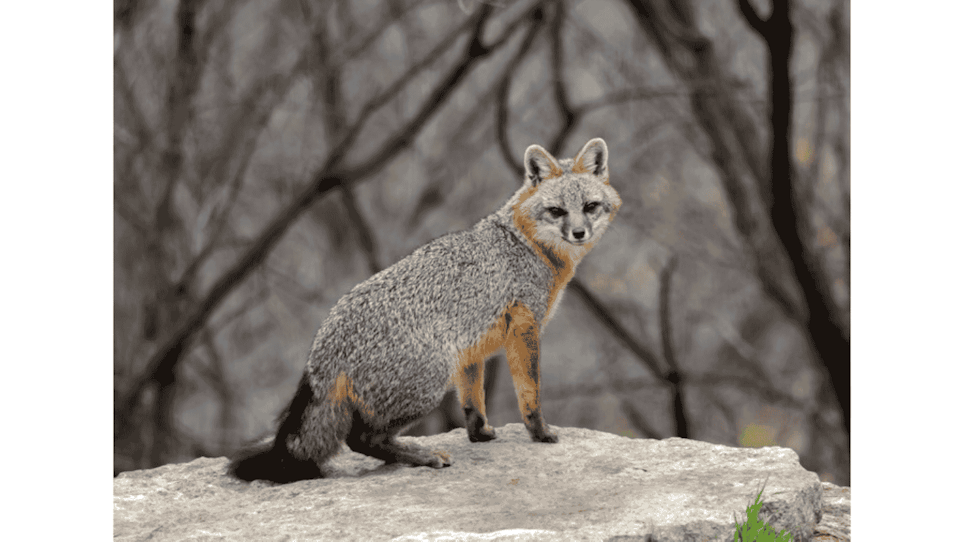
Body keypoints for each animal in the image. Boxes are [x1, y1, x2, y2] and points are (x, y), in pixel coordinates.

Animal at [229, 138, 621, 483]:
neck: (524, 244)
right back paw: (421, 456)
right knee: (360, 439)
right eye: (557, 211)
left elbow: (472, 399)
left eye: (590, 206)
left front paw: (480, 434)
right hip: (430, 384)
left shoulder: (470, 346)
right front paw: (540, 432)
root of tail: (324, 345)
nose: (579, 233)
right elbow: (531, 393)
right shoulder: (525, 330)